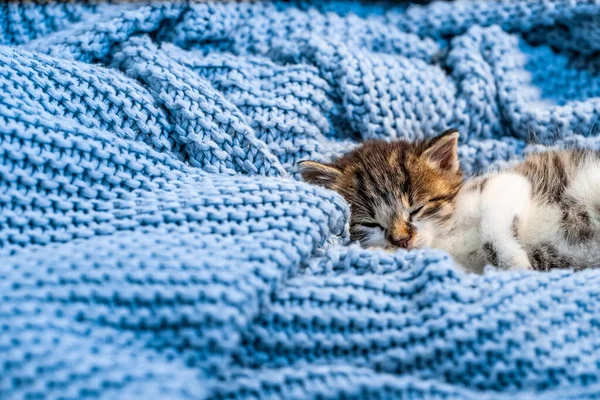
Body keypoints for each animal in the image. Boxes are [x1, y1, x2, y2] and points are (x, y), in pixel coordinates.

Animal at [302, 130, 600, 274]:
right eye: (370, 223)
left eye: (417, 209)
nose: (402, 240)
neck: (444, 236)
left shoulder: (509, 181)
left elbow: (492, 225)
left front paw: (512, 261)